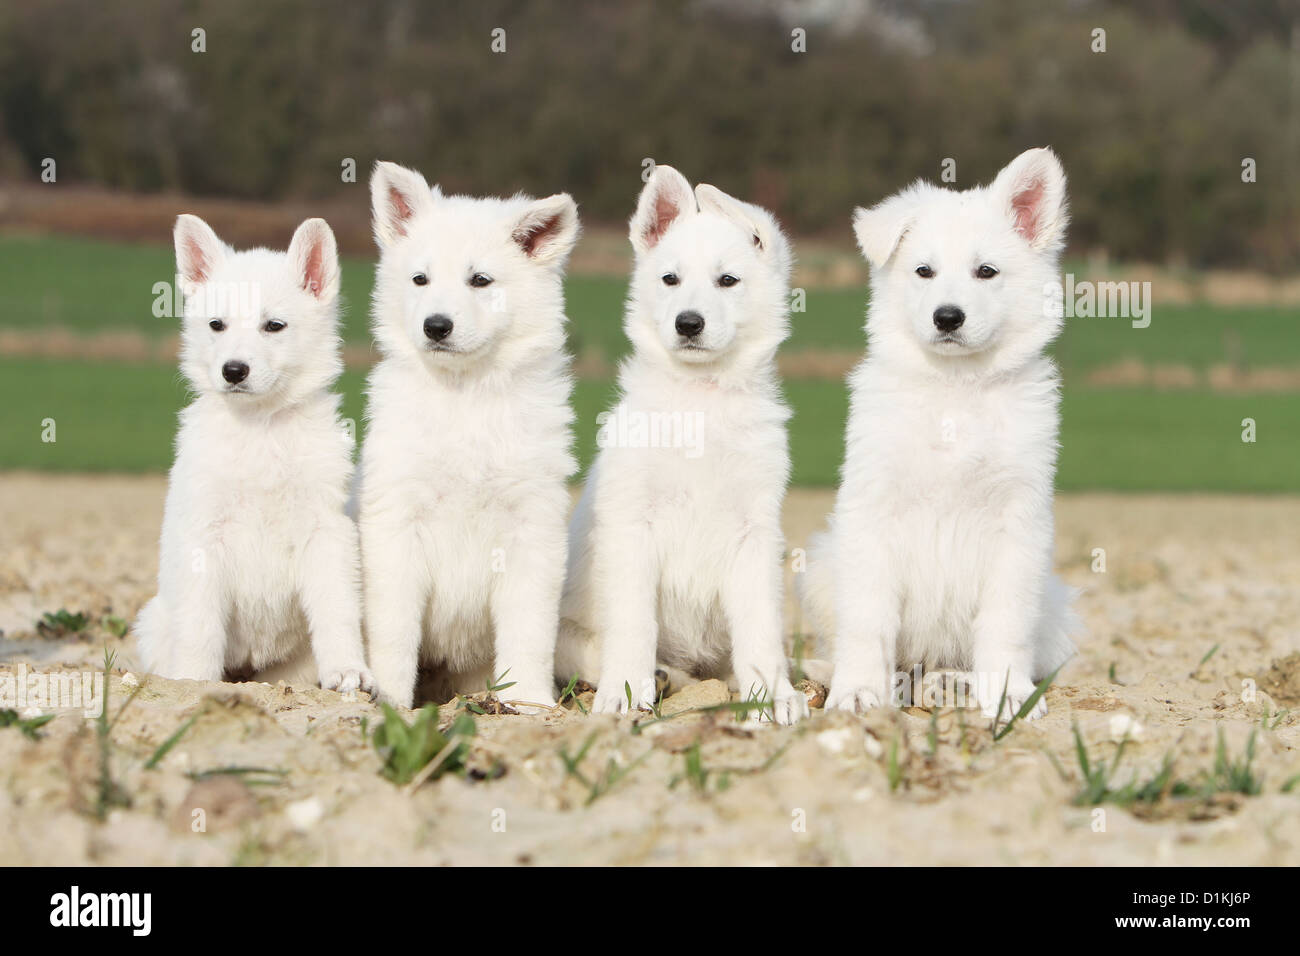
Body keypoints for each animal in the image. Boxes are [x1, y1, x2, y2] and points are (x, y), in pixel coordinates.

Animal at [135, 213, 371, 691]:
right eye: (217, 325)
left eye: (273, 326)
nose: (234, 371)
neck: (261, 428)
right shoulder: (204, 537)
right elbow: (201, 624)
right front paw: (195, 683)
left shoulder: (326, 531)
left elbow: (337, 610)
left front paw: (347, 669)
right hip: (154, 623)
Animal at [356, 160, 579, 712]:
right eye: (420, 279)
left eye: (481, 281)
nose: (436, 326)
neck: (465, 396)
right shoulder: (396, 523)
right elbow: (394, 630)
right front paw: (390, 704)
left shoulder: (532, 527)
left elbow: (528, 629)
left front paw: (530, 703)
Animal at [561, 166, 811, 723]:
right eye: (669, 279)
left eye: (728, 280)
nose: (688, 323)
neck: (701, 399)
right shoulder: (634, 527)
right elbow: (634, 622)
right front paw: (625, 691)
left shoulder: (755, 533)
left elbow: (761, 629)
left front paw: (773, 696)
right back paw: (656, 676)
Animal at [800, 147, 1076, 717]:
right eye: (923, 271)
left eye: (986, 271)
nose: (948, 317)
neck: (955, 389)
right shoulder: (872, 513)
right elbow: (867, 619)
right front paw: (858, 692)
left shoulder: (1018, 524)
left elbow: (1005, 622)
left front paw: (1009, 695)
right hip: (820, 565)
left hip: (1057, 606)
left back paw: (953, 684)